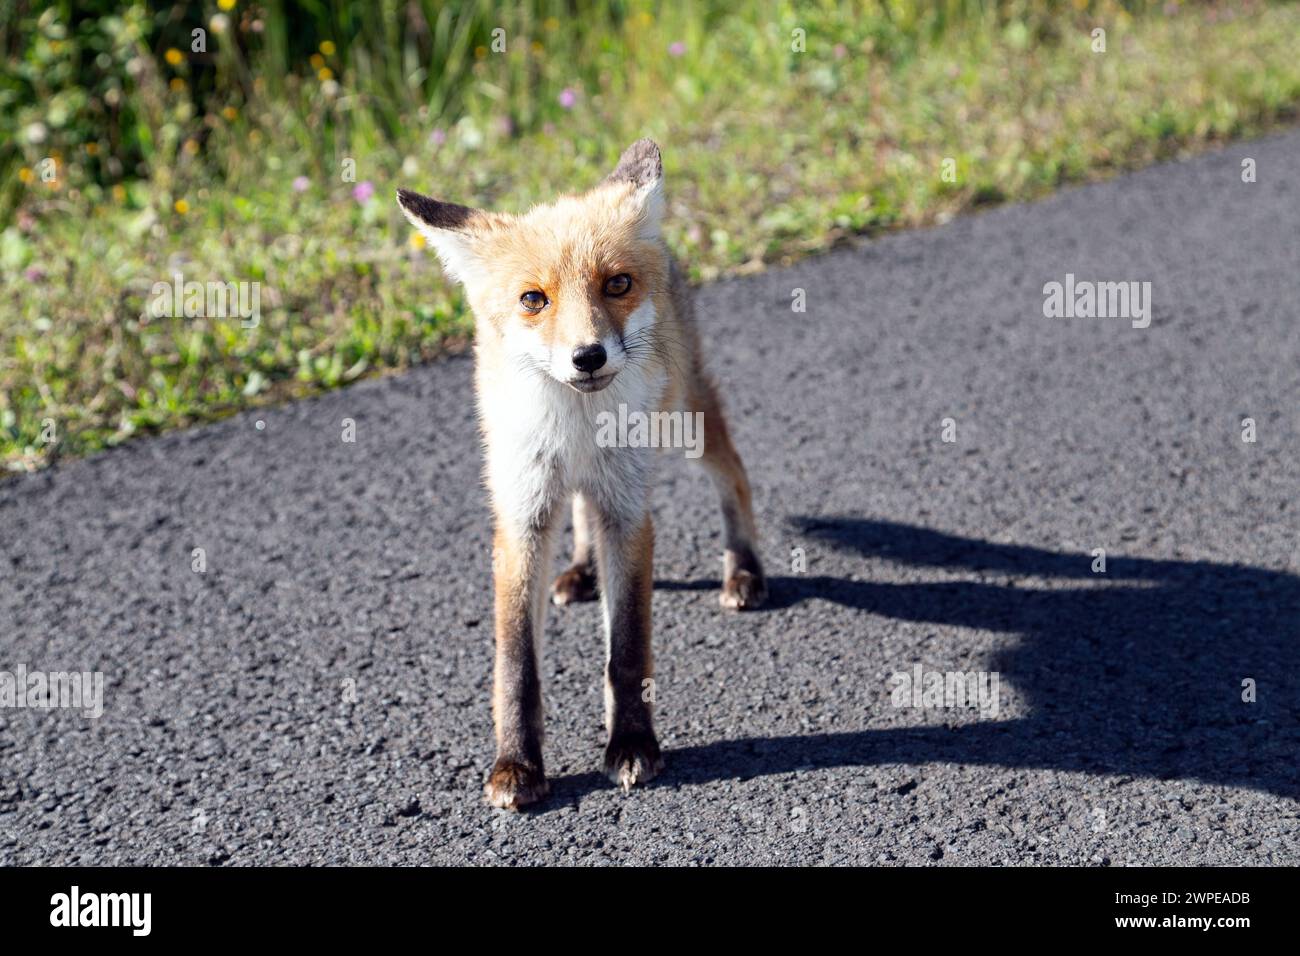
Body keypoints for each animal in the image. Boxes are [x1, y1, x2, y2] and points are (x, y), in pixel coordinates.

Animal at [397, 139, 767, 809]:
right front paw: (516, 764)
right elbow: (516, 667)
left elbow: (628, 652)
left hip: (684, 421)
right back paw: (583, 569)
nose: (587, 357)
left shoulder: (629, 511)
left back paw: (744, 570)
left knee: (735, 476)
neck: (574, 426)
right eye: (533, 299)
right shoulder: (521, 516)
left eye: (616, 284)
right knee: (580, 508)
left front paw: (633, 745)